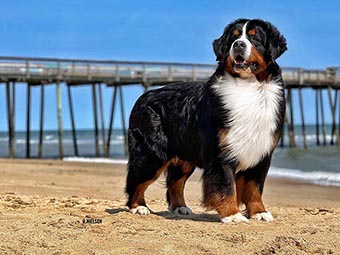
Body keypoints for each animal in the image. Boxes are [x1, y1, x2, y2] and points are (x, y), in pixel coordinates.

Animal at [125, 18, 286, 223]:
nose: (239, 45)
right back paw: (138, 207)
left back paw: (180, 207)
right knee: (137, 180)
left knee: (175, 182)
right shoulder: (220, 151)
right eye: (233, 38)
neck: (249, 86)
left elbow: (254, 187)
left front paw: (259, 212)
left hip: (184, 155)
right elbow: (226, 186)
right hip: (152, 153)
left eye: (254, 38)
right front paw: (232, 215)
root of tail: (144, 96)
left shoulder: (261, 151)